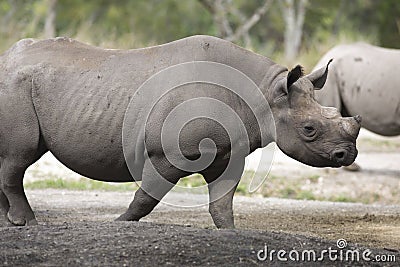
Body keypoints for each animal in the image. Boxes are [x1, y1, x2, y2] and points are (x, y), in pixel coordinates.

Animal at [0, 35, 360, 228]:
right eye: (309, 129)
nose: (348, 154)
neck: (265, 93)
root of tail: (6, 58)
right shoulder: (168, 153)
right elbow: (146, 198)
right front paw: (118, 224)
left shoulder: (228, 153)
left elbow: (223, 203)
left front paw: (230, 234)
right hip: (14, 86)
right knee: (19, 157)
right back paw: (26, 222)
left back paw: (8, 221)